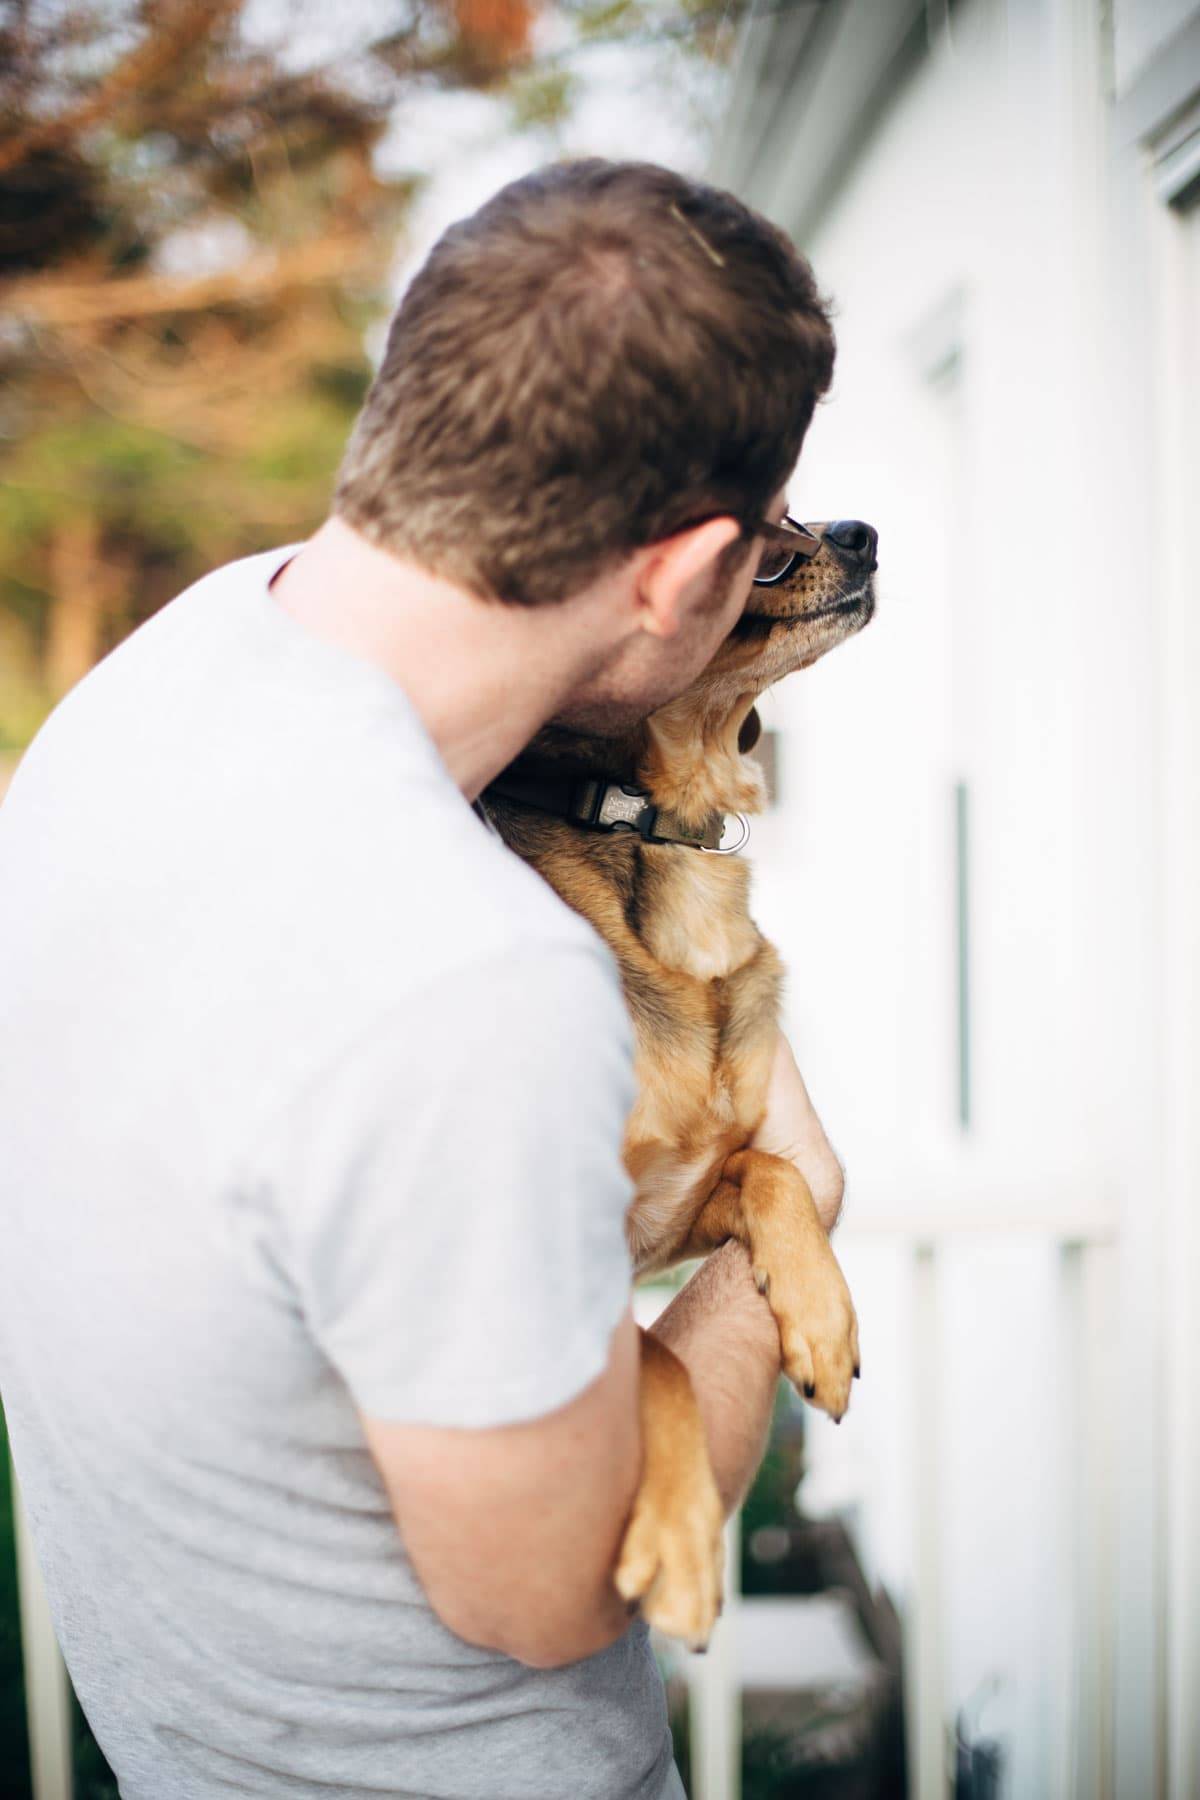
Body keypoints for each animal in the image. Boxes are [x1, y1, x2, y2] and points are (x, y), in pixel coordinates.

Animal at [482, 518, 877, 1648]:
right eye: (769, 546)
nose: (864, 534)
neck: (648, 825)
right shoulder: (590, 1265)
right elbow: (656, 1360)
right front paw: (681, 1545)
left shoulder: (677, 1206)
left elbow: (773, 1173)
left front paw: (822, 1317)